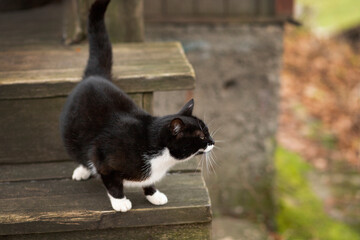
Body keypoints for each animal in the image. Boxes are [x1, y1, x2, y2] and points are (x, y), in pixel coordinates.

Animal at [60, 0, 215, 212]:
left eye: (207, 131)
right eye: (201, 136)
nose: (212, 142)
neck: (160, 156)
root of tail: (95, 75)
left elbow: (147, 181)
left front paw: (153, 194)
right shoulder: (105, 156)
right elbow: (111, 181)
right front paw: (120, 201)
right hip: (72, 134)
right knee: (81, 151)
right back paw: (83, 170)